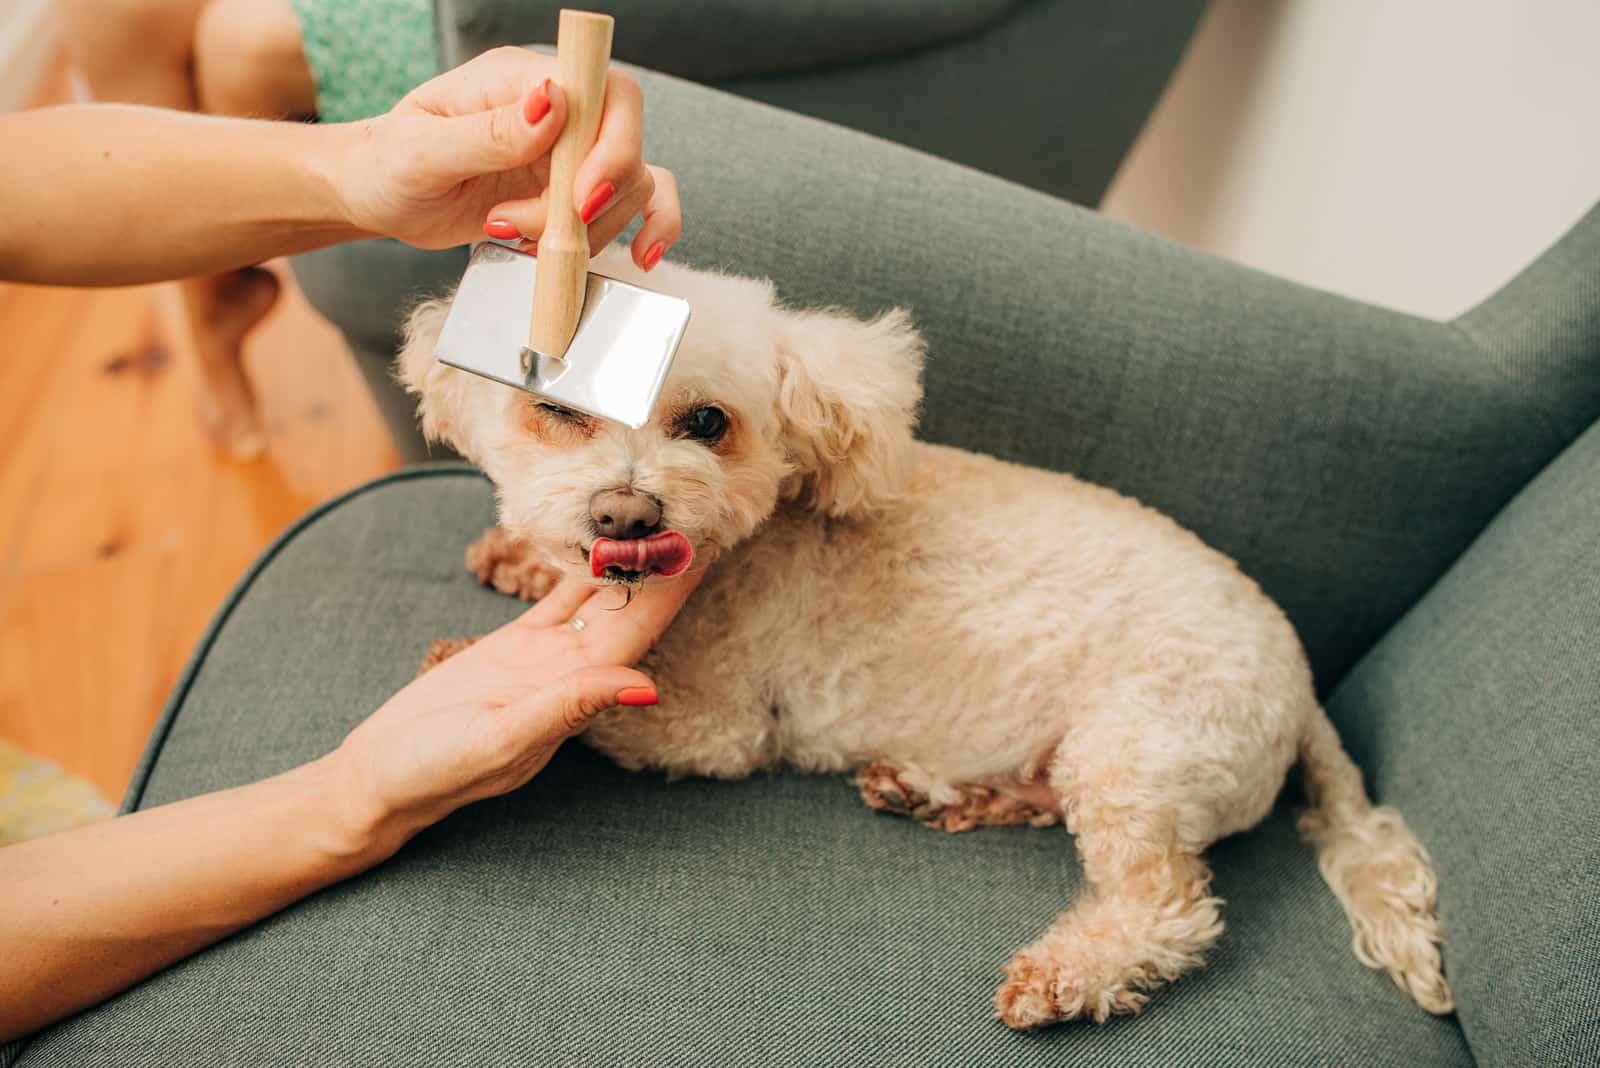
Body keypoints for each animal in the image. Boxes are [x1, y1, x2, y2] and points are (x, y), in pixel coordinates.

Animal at [396, 247, 1452, 1023]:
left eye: (707, 422)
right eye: (556, 410)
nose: (625, 514)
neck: (743, 551)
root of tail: (1304, 687)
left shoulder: (724, 729)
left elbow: (628, 714)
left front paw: (477, 667)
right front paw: (519, 558)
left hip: (1138, 750)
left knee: (1166, 909)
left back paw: (1065, 975)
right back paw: (931, 791)